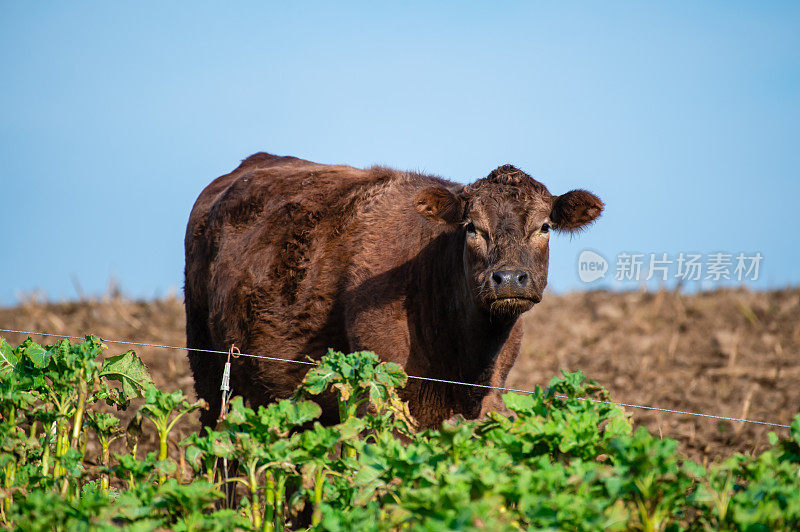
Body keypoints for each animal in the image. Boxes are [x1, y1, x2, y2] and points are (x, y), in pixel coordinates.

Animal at [184, 153, 604, 428]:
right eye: (471, 227)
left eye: (544, 226)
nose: (510, 279)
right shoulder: (382, 396)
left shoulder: (491, 397)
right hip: (210, 370)